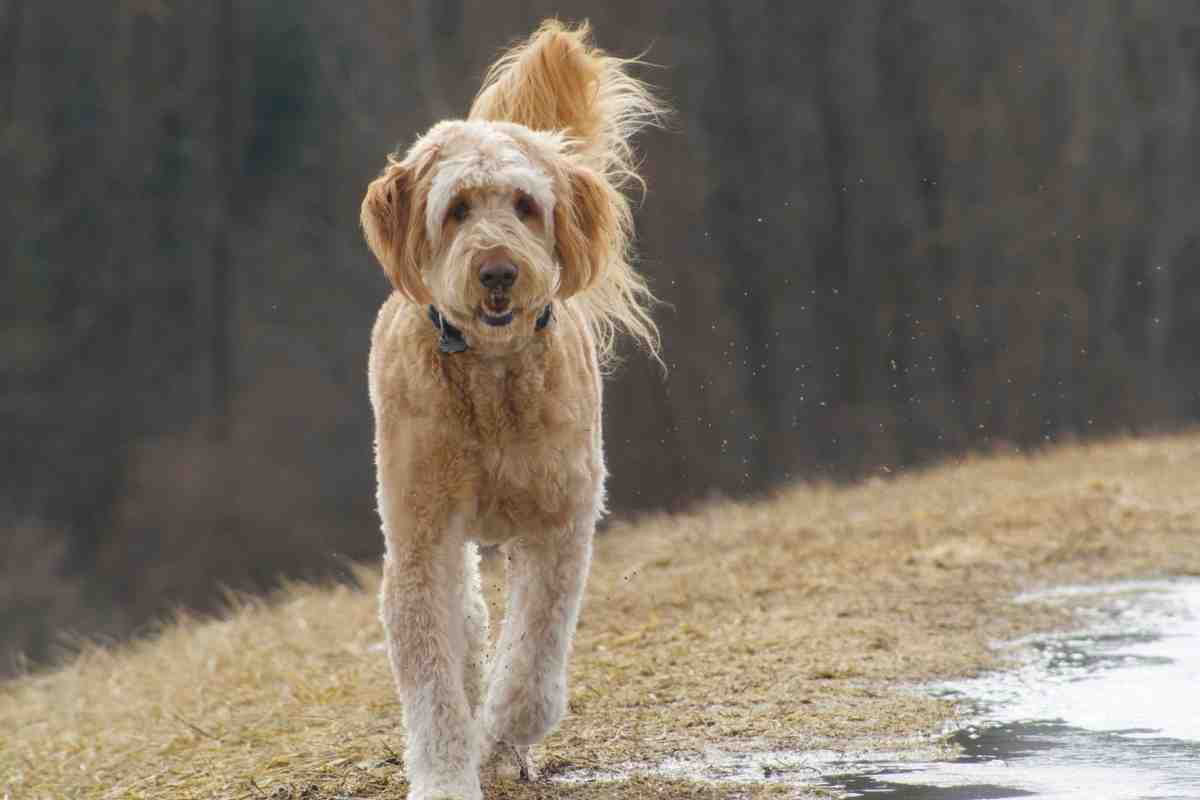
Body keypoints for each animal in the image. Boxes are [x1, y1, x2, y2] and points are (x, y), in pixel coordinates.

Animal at [360, 21, 672, 796]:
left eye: (526, 205)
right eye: (457, 210)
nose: (498, 271)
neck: (494, 381)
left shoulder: (560, 524)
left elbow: (532, 660)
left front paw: (502, 731)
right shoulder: (421, 534)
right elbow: (433, 677)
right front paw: (447, 773)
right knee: (468, 625)